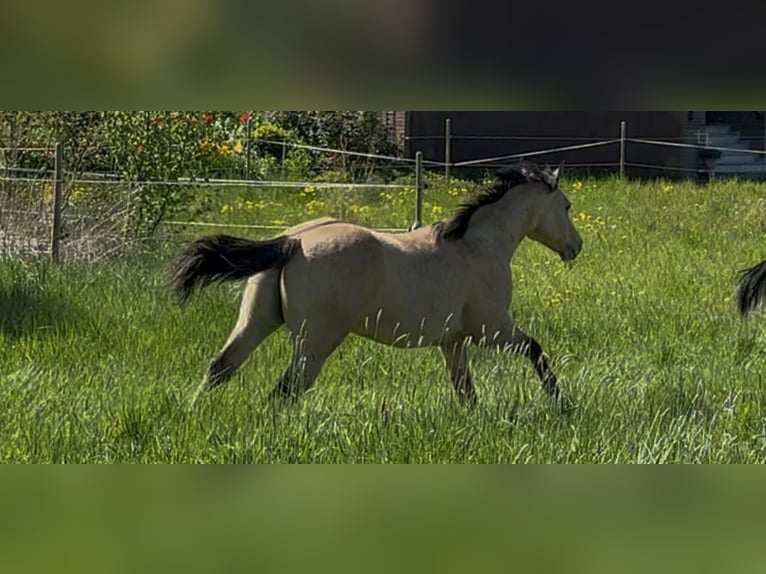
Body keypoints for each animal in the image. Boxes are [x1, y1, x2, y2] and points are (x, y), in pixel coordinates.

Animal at [168, 160, 583, 405]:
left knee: (221, 367)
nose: (576, 247)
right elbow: (536, 351)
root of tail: (293, 242)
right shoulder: (492, 329)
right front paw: (561, 405)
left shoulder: (453, 341)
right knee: (286, 389)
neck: (476, 246)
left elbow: (465, 389)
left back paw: (196, 413)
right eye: (566, 206)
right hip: (316, 342)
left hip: (256, 321)